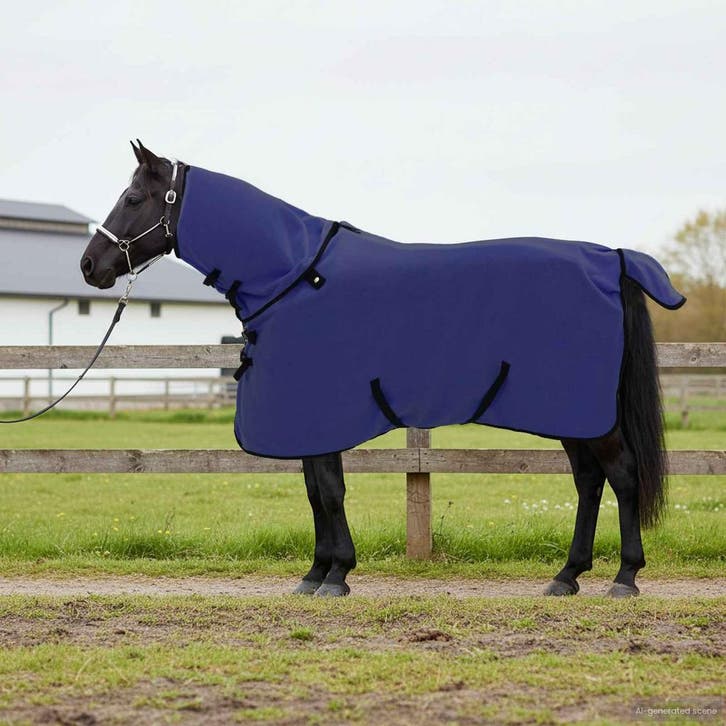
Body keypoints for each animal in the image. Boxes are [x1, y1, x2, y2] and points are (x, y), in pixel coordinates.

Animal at [80, 141, 685, 598]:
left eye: (133, 197)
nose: (90, 265)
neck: (294, 274)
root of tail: (611, 258)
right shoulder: (307, 419)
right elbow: (315, 492)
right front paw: (315, 574)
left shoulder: (321, 412)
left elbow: (329, 491)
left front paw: (337, 576)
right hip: (571, 414)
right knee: (589, 482)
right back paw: (567, 576)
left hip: (587, 414)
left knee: (622, 476)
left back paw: (625, 578)